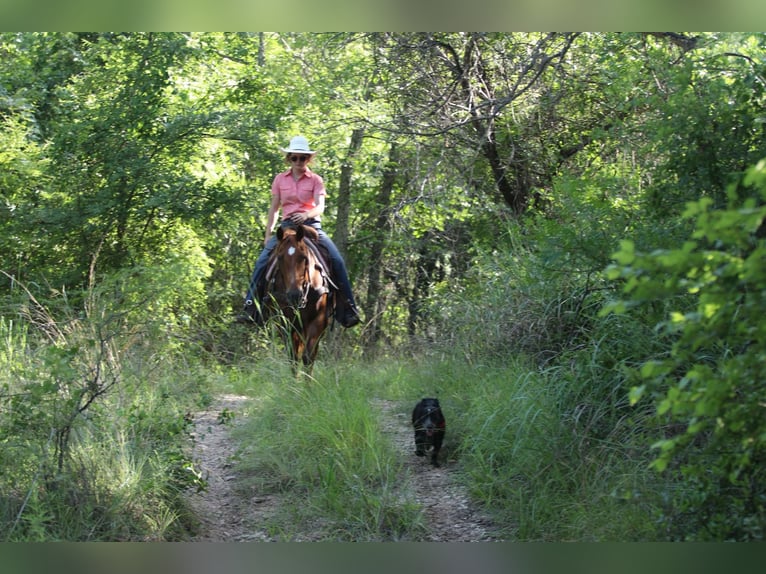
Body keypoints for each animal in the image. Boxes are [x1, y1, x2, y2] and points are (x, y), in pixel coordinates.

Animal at [264, 224, 332, 372]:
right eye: (280, 258)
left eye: (304, 257)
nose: (295, 295)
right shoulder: (287, 323)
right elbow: (293, 357)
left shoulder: (317, 320)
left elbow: (308, 357)